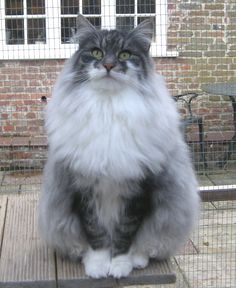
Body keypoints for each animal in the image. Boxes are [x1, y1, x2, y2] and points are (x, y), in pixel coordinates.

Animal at [38, 14, 199, 280]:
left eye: (124, 54)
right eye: (96, 52)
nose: (109, 65)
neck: (108, 107)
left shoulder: (138, 188)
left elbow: (126, 235)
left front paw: (120, 265)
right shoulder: (84, 187)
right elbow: (95, 234)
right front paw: (98, 265)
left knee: (147, 244)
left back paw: (138, 261)